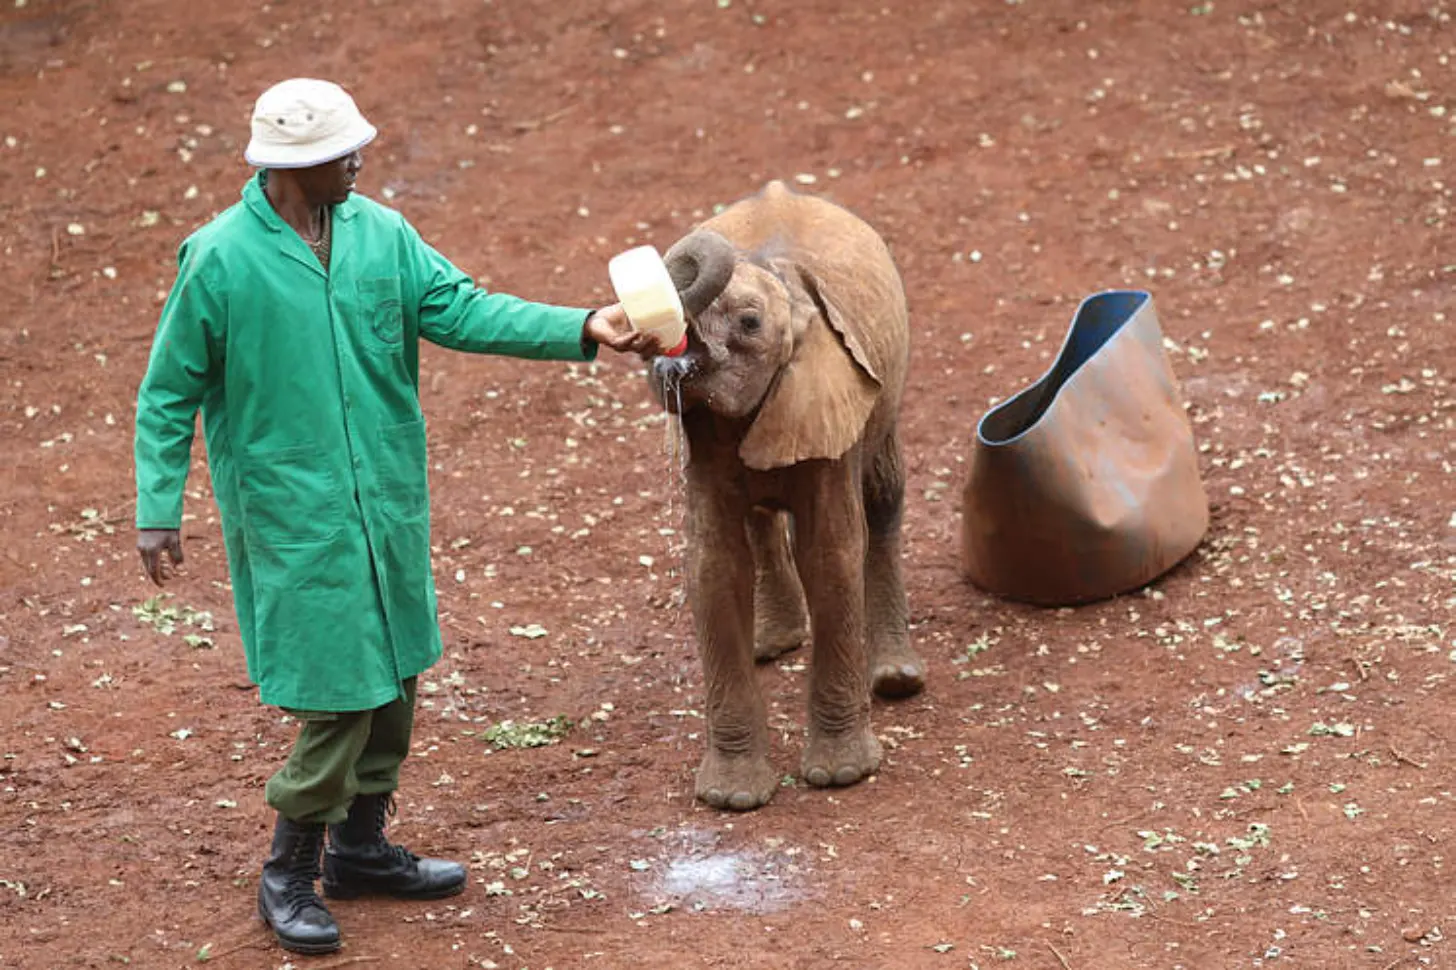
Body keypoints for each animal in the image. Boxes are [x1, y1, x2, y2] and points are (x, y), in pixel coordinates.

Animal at [647, 179, 923, 812]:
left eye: (750, 323)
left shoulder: (834, 396)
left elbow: (830, 553)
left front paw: (841, 777)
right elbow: (713, 567)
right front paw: (731, 800)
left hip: (886, 397)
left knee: (883, 500)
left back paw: (897, 678)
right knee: (759, 519)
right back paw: (771, 645)